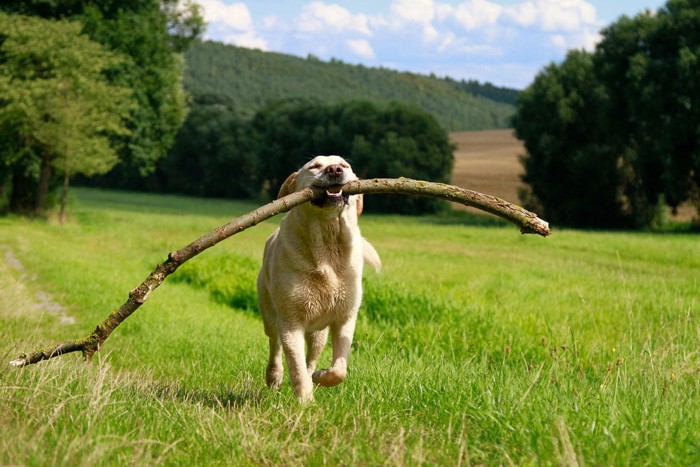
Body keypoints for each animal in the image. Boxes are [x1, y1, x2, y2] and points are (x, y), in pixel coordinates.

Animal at [258, 154, 380, 402]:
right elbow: (295, 367)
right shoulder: (291, 323)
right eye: (314, 166)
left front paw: (320, 377)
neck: (327, 237)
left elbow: (339, 369)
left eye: (344, 165)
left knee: (311, 357)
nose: (334, 170)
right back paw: (274, 377)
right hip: (270, 314)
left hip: (318, 334)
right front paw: (306, 403)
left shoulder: (345, 317)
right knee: (274, 345)